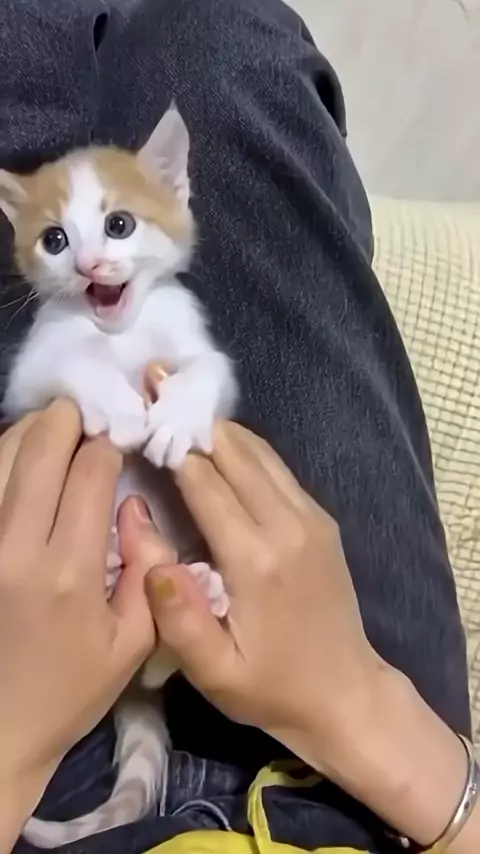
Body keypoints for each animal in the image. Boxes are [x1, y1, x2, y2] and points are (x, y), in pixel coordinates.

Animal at [0, 105, 237, 847]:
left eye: (119, 225)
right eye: (53, 239)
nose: (86, 265)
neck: (119, 333)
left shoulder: (193, 340)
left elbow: (209, 369)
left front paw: (178, 414)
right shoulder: (29, 377)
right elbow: (67, 368)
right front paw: (117, 405)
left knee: (162, 661)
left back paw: (202, 588)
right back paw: (113, 566)